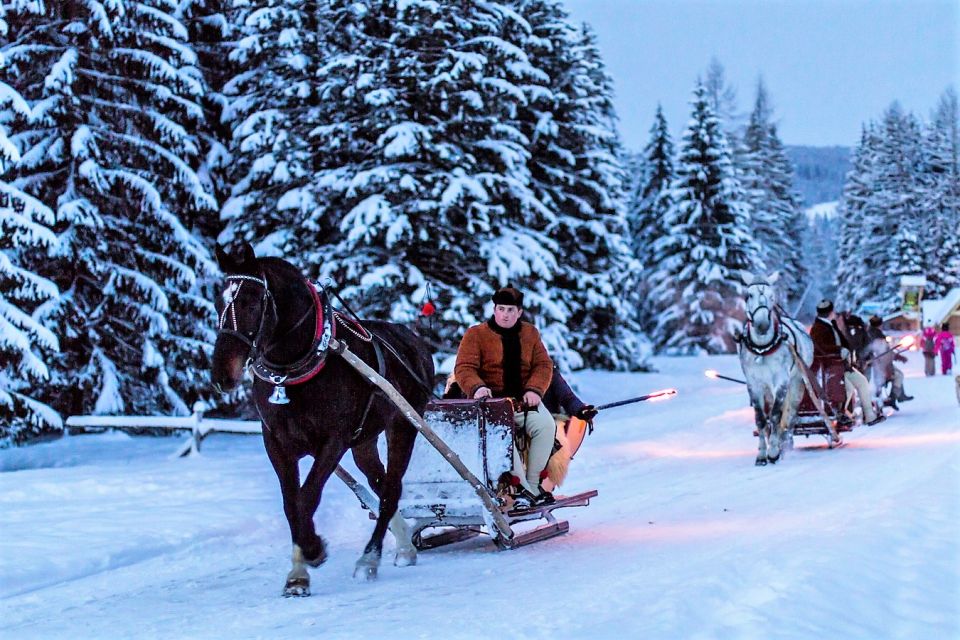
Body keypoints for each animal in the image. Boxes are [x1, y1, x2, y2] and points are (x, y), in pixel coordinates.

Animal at [214, 244, 436, 596]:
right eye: (218, 301)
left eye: (250, 300)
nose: (223, 374)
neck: (295, 368)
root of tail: (415, 341)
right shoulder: (276, 443)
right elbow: (291, 503)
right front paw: (297, 574)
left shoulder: (334, 440)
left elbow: (307, 497)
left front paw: (313, 551)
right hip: (365, 441)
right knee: (379, 483)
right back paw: (404, 545)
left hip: (402, 426)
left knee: (390, 491)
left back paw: (369, 559)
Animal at [740, 272, 812, 464]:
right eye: (749, 295)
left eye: (772, 296)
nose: (762, 324)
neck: (762, 349)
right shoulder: (754, 384)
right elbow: (760, 419)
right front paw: (761, 454)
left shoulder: (781, 381)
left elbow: (775, 415)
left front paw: (773, 452)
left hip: (796, 383)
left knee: (790, 414)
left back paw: (785, 443)